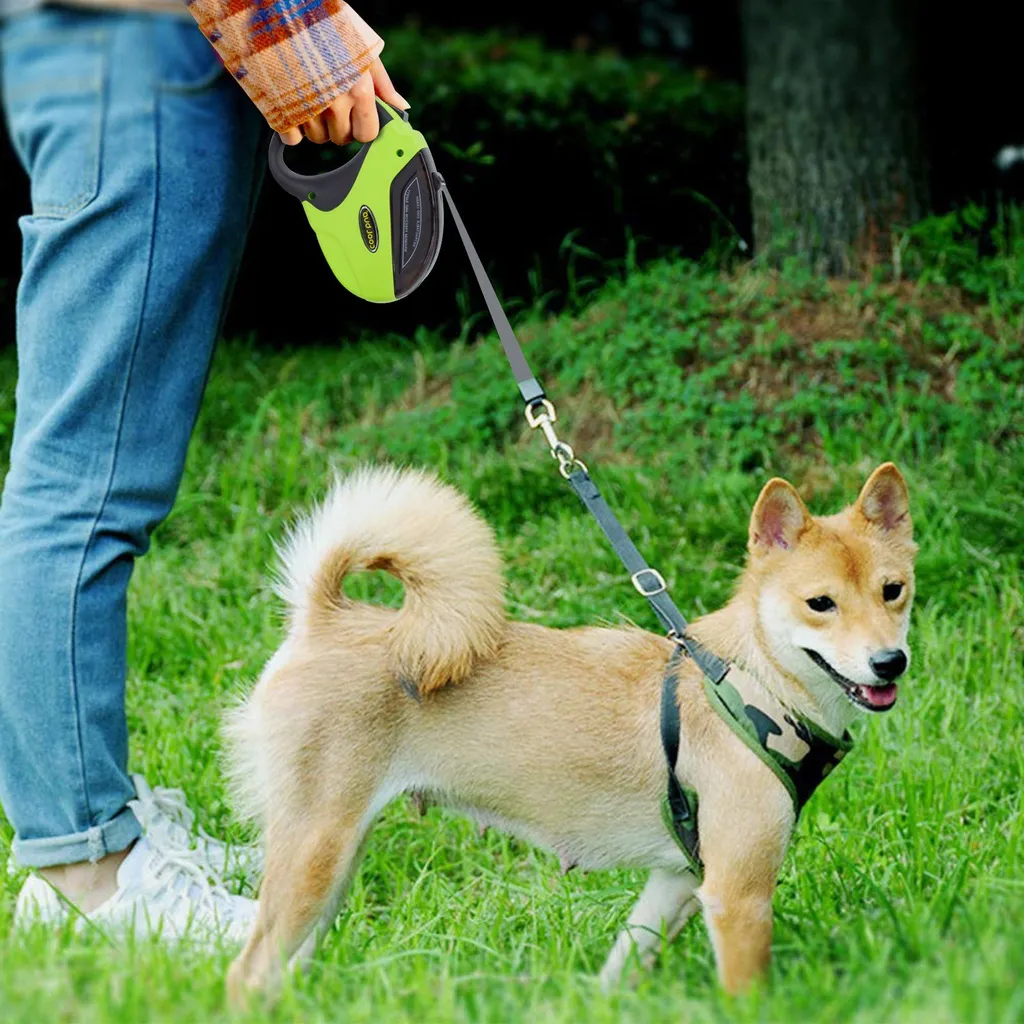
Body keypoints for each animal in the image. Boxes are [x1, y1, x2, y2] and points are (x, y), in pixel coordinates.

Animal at [228, 458, 917, 999]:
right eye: (820, 603)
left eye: (893, 591)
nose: (891, 662)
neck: (748, 680)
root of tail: (324, 617)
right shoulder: (738, 897)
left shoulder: (678, 882)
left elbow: (622, 967)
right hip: (314, 859)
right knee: (248, 973)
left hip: (332, 873)